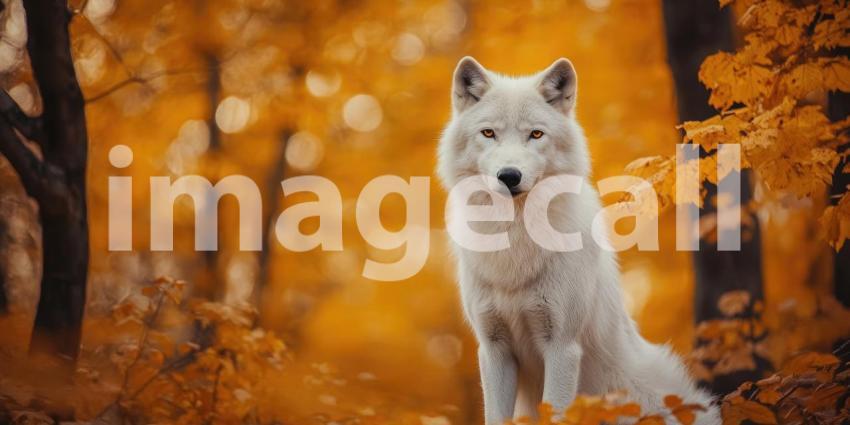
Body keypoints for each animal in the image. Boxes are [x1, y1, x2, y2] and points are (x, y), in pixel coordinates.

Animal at [436, 57, 719, 424]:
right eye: (488, 133)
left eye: (536, 134)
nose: (509, 176)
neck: (516, 238)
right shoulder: (494, 349)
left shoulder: (562, 347)